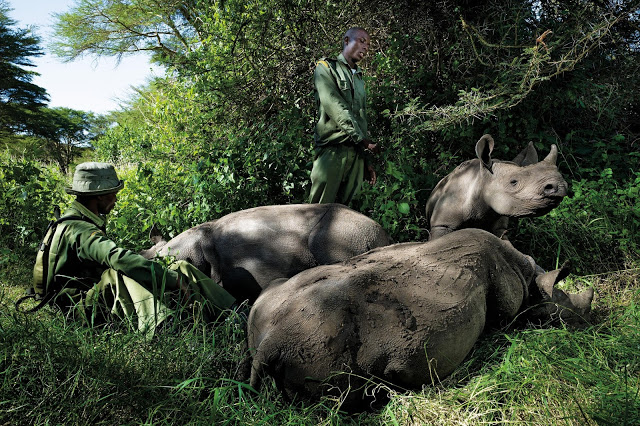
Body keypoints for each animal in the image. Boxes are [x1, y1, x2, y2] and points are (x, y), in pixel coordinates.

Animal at [248, 230, 592, 410]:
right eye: (562, 308)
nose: (588, 321)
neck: (529, 278)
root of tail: (271, 343)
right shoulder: (506, 303)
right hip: (322, 344)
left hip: (268, 308)